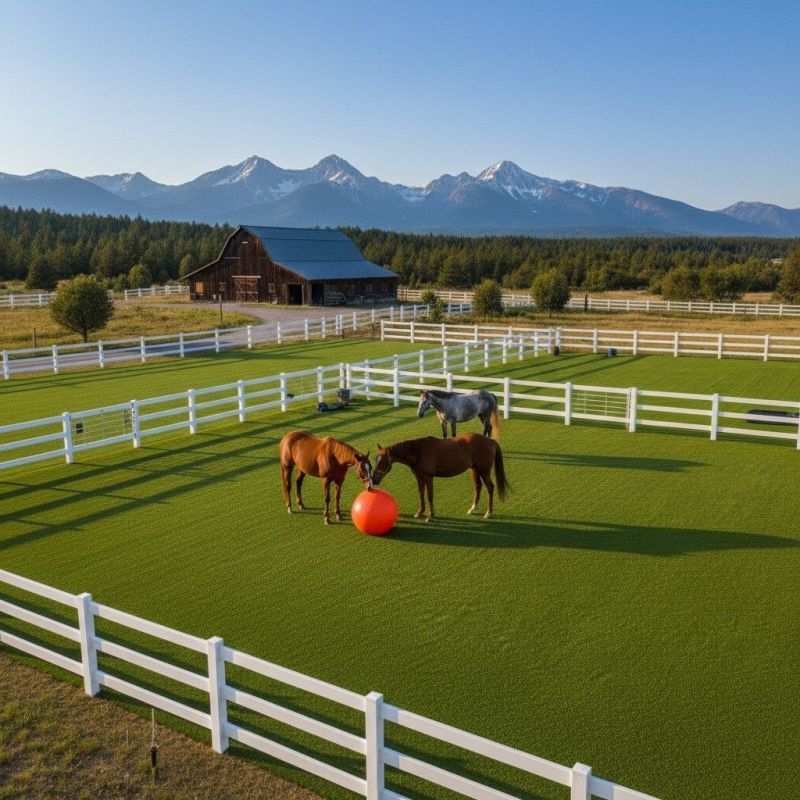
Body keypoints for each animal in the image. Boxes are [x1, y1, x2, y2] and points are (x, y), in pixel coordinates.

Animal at [371, 433, 509, 521]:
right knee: (478, 486)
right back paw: (472, 509)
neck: (419, 451)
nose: (374, 480)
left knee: (490, 487)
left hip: (484, 471)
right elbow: (421, 494)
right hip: (474, 470)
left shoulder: (428, 477)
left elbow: (429, 496)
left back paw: (488, 512)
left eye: (383, 462)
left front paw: (430, 515)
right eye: (375, 459)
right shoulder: (419, 477)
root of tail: (489, 440)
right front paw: (420, 512)